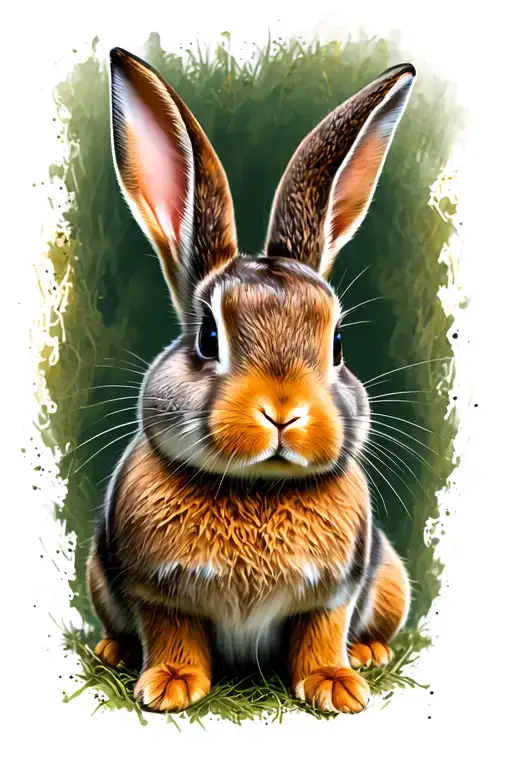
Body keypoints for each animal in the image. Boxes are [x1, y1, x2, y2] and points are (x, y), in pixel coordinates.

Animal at [86, 47, 415, 715]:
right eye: (209, 339)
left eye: (337, 346)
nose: (283, 412)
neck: (257, 488)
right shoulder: (155, 592)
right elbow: (172, 631)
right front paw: (171, 685)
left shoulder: (335, 591)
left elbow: (322, 631)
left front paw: (336, 686)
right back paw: (114, 651)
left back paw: (369, 655)